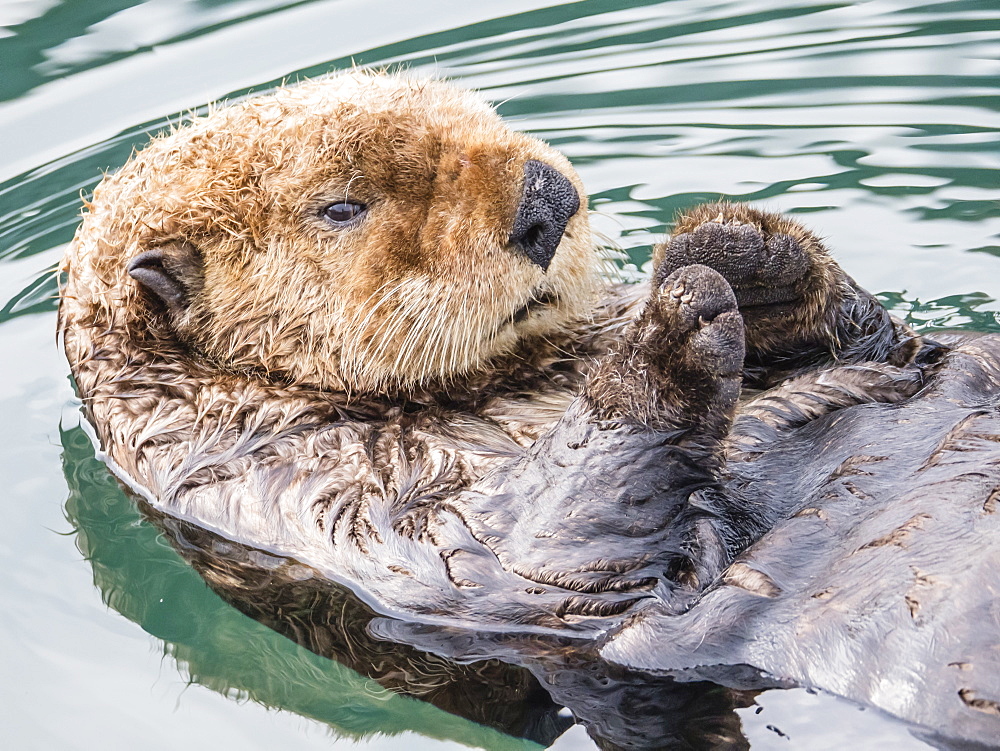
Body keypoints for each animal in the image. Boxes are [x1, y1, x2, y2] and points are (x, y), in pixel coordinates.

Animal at [60, 72, 1000, 748]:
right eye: (341, 206)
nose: (545, 196)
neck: (508, 385)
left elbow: (878, 346)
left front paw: (738, 248)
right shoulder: (320, 496)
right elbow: (533, 547)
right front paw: (674, 330)